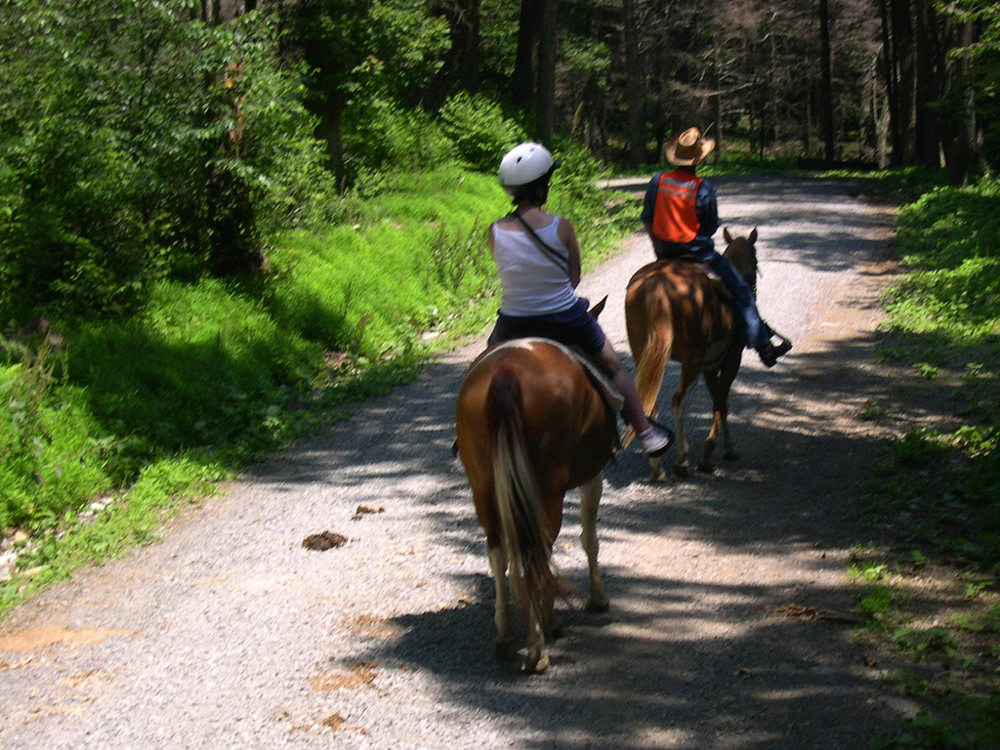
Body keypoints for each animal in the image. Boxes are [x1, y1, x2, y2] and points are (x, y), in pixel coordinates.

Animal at [456, 332, 616, 672]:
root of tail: (506, 373)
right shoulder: (592, 476)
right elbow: (589, 538)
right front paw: (597, 598)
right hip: (547, 491)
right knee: (536, 555)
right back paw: (538, 646)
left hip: (483, 489)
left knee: (500, 553)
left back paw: (505, 637)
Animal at [624, 226, 756, 478]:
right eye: (756, 262)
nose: (752, 288)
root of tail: (656, 284)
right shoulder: (731, 359)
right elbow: (721, 402)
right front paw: (716, 451)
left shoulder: (709, 366)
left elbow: (720, 401)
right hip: (691, 360)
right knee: (678, 400)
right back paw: (682, 460)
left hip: (643, 354)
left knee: (650, 403)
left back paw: (657, 466)